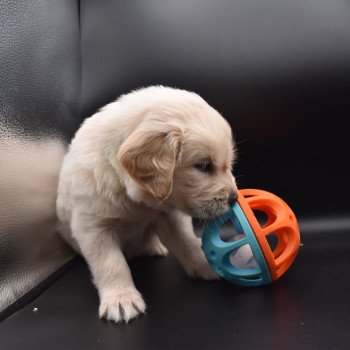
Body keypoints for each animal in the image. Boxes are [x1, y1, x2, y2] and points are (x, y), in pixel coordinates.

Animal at [56, 85, 238, 322]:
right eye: (204, 165)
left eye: (228, 165)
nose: (234, 198)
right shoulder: (93, 226)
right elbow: (111, 263)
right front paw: (121, 299)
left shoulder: (169, 216)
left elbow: (186, 242)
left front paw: (206, 264)